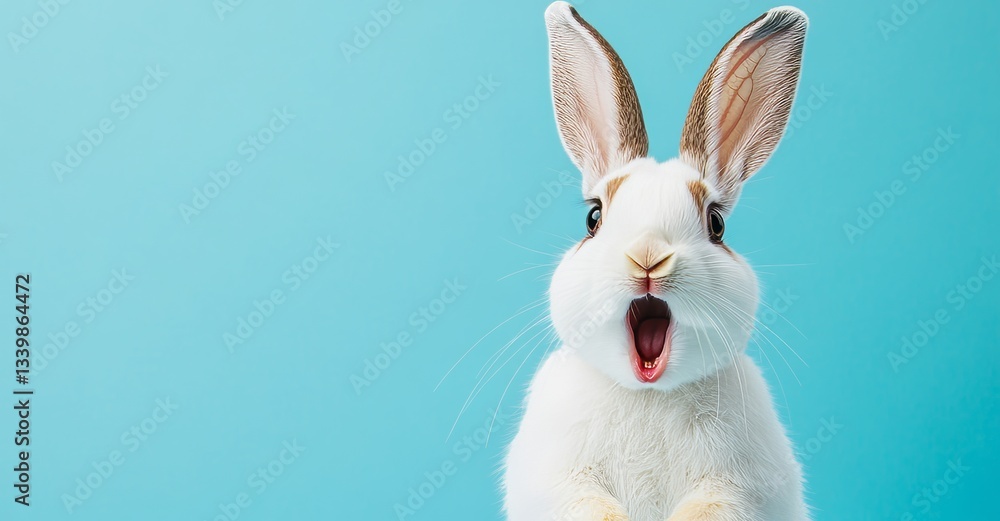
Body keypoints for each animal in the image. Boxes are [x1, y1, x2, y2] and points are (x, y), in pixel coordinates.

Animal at [502, 3, 810, 520]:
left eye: (716, 224)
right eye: (593, 217)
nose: (647, 257)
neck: (649, 394)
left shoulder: (739, 488)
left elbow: (712, 505)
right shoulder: (558, 480)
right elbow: (588, 505)